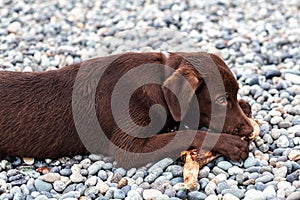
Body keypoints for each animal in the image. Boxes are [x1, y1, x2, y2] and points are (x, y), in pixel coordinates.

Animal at [0, 52, 253, 167]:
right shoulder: (128, 148)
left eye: (235, 93)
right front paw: (230, 144)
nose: (249, 130)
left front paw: (245, 105)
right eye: (221, 100)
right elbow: (186, 133)